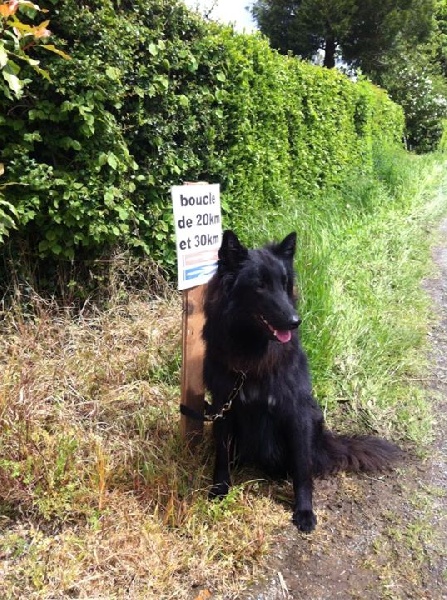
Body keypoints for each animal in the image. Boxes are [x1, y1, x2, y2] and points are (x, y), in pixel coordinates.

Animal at [201, 229, 400, 528]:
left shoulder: (297, 412)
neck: (253, 352)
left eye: (285, 284)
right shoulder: (223, 405)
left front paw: (304, 510)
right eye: (260, 286)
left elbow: (302, 469)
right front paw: (220, 489)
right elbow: (221, 456)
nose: (296, 321)